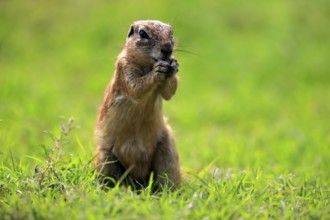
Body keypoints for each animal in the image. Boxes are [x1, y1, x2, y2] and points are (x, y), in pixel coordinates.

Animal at [94, 19, 182, 190]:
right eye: (142, 33)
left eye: (172, 32)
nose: (167, 49)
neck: (147, 65)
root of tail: (138, 179)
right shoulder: (124, 68)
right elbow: (136, 87)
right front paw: (157, 71)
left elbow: (168, 92)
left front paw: (174, 66)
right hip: (106, 159)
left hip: (168, 152)